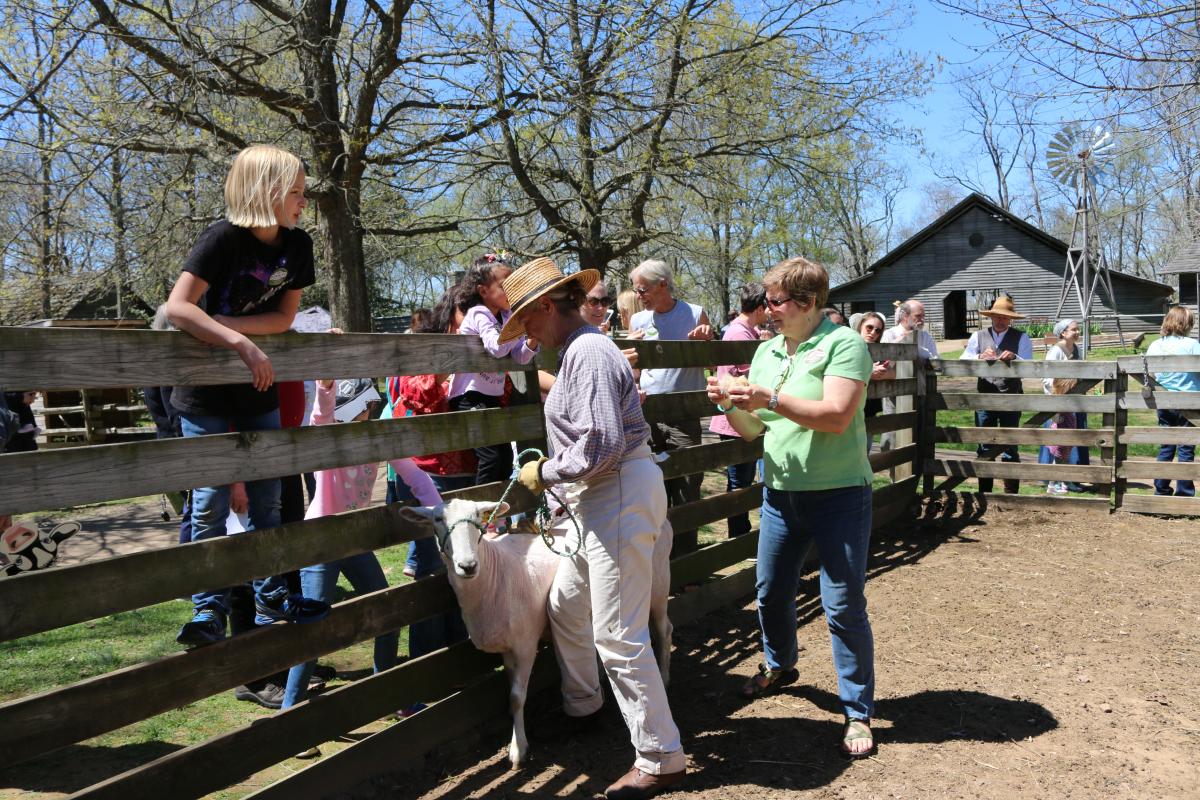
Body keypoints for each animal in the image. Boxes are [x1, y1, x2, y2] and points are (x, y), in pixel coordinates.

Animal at [396, 501, 672, 767]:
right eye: (438, 519)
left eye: (478, 518)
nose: (467, 565)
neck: (493, 574)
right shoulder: (507, 650)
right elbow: (511, 695)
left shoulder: (526, 644)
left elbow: (518, 697)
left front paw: (518, 750)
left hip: (657, 584)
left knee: (663, 628)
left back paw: (664, 674)